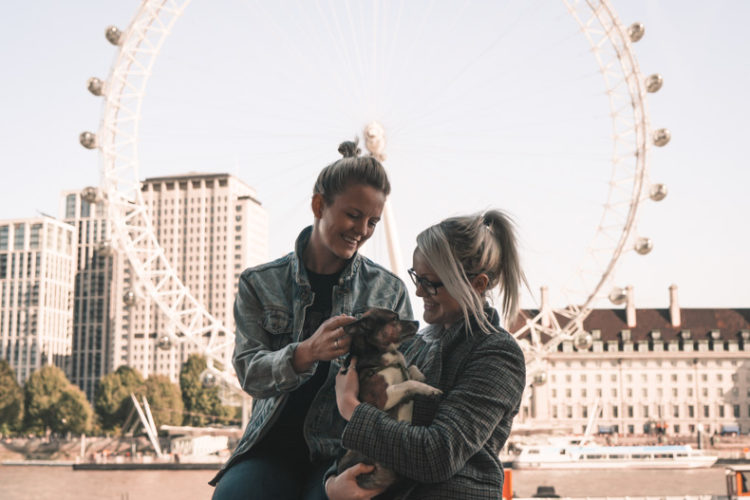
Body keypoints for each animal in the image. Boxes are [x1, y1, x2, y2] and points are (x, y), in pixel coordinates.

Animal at [340, 308, 444, 492]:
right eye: (395, 319)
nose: (418, 322)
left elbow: (411, 369)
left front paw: (421, 376)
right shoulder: (383, 397)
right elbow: (409, 382)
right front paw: (429, 390)